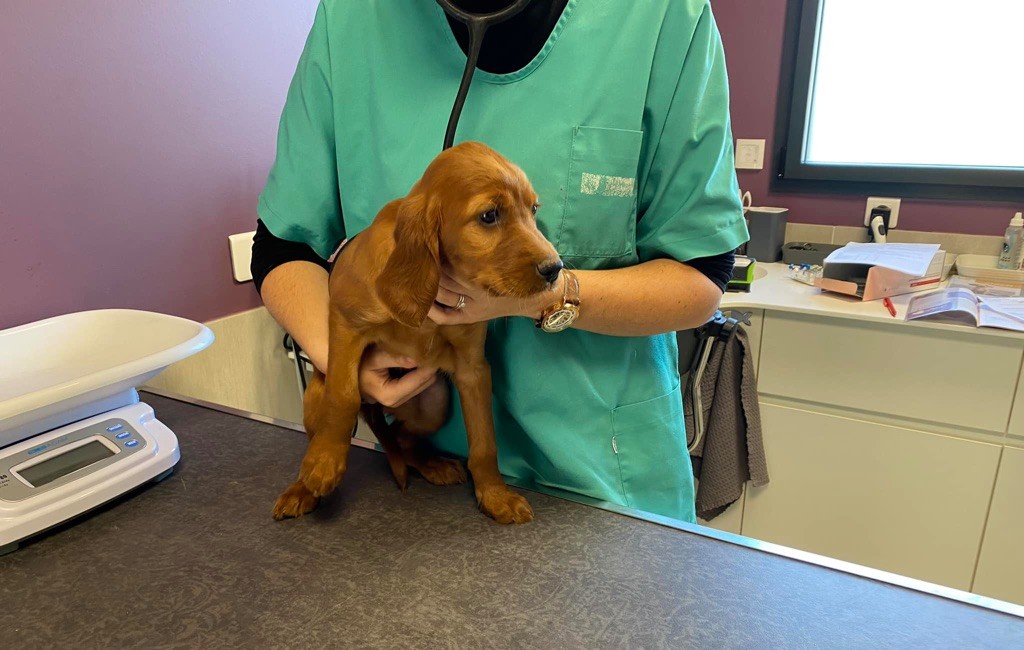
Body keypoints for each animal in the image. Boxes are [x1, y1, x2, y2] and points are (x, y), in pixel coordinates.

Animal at [272, 141, 561, 524]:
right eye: (489, 216)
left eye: (533, 209)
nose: (555, 269)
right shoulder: (346, 323)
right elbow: (343, 395)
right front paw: (324, 464)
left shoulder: (472, 369)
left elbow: (485, 441)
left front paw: (495, 495)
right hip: (314, 398)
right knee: (331, 425)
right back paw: (302, 487)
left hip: (434, 404)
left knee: (400, 436)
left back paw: (433, 465)